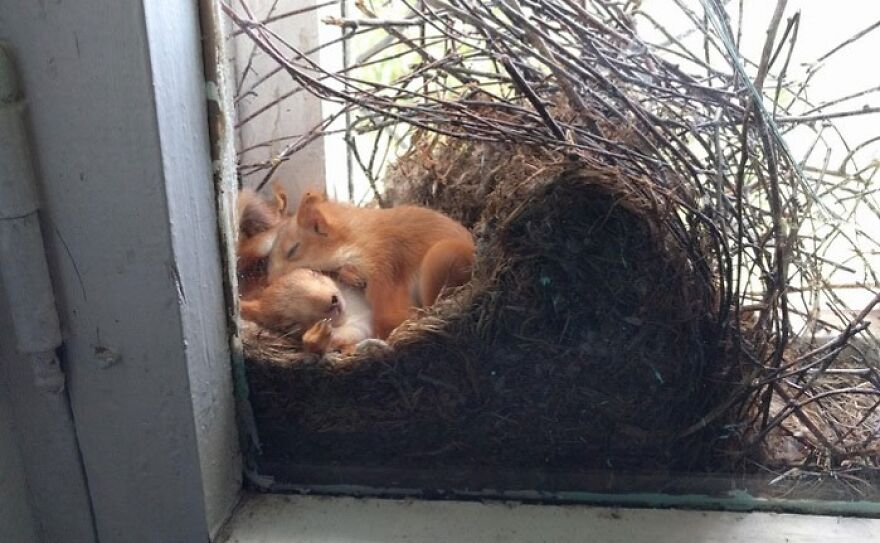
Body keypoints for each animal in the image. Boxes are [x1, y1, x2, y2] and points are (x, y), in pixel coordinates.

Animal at [258, 187, 478, 340]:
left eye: (293, 250)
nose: (268, 282)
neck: (356, 237)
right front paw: (350, 276)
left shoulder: (382, 264)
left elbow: (385, 306)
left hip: (441, 259)